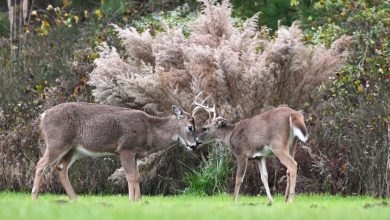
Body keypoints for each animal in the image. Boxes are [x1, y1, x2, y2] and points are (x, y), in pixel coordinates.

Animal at [32, 101, 198, 201]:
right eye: (190, 127)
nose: (195, 144)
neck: (149, 131)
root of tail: (42, 116)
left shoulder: (136, 154)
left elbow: (137, 176)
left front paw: (139, 201)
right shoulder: (126, 148)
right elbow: (131, 176)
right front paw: (132, 201)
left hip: (73, 148)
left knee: (61, 167)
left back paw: (75, 199)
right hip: (57, 142)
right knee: (41, 164)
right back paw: (34, 198)